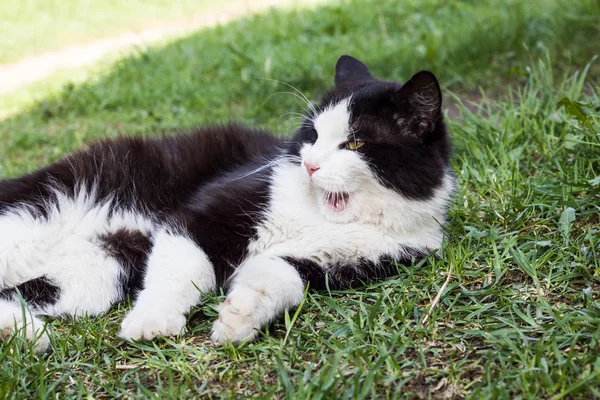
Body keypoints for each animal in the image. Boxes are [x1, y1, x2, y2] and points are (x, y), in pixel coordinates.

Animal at [0, 54, 452, 352]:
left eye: (354, 144)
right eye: (312, 135)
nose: (309, 164)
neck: (323, 217)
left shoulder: (349, 263)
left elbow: (283, 277)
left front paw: (240, 317)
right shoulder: (205, 212)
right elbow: (187, 267)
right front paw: (153, 320)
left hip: (97, 272)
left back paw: (22, 334)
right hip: (41, 208)